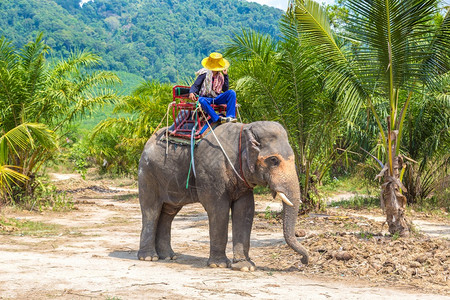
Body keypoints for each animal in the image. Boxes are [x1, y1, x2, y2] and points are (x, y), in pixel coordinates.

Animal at [137, 120, 310, 270]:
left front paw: (245, 266)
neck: (244, 130)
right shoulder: (212, 172)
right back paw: (149, 257)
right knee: (151, 211)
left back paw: (168, 256)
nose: (303, 261)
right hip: (148, 174)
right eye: (274, 160)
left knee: (168, 212)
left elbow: (245, 210)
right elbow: (218, 209)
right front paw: (219, 265)